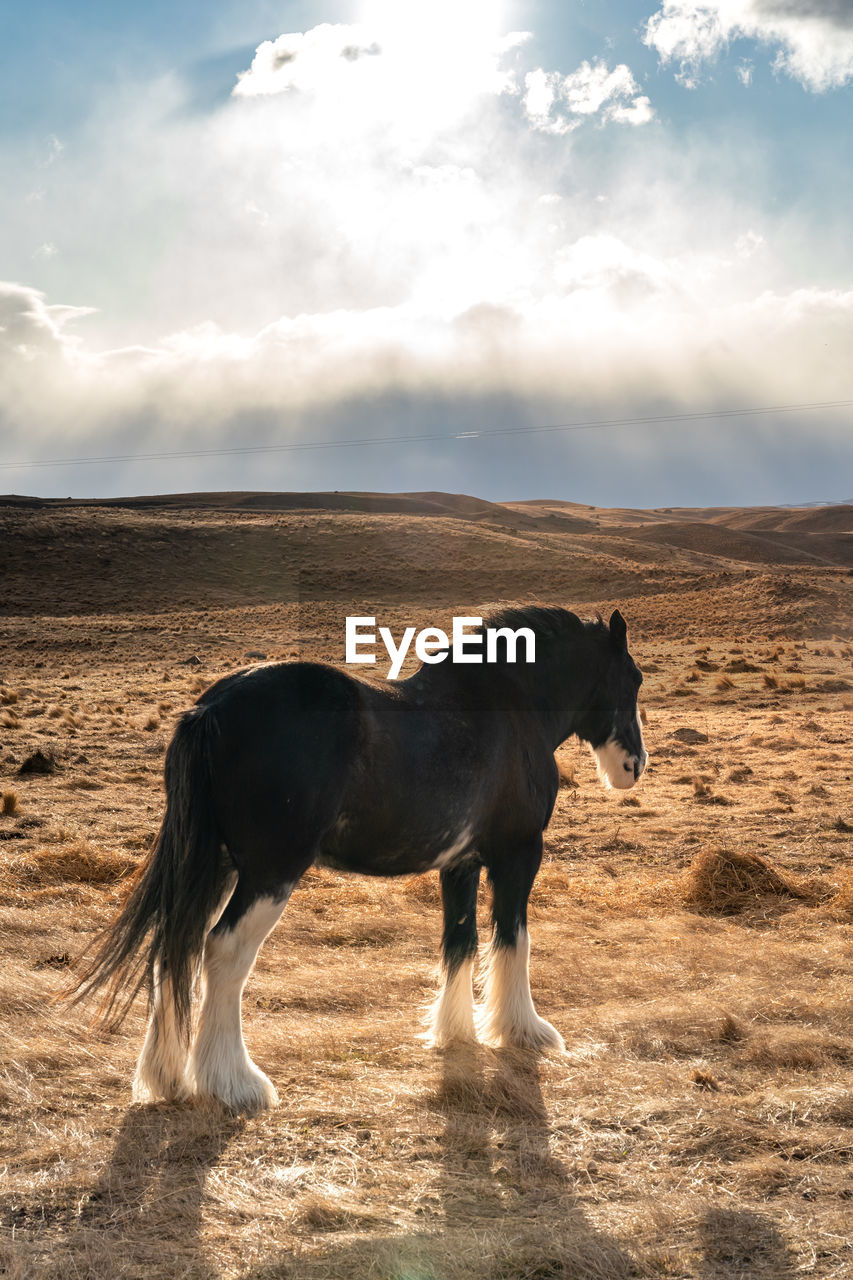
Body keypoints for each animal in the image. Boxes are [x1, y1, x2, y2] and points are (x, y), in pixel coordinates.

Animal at [74, 604, 645, 1105]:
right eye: (634, 680)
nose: (634, 766)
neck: (509, 706)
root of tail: (207, 710)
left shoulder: (460, 864)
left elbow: (459, 941)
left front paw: (455, 1033)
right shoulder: (518, 854)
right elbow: (514, 940)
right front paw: (524, 1030)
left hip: (212, 864)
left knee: (179, 945)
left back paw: (167, 1078)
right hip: (269, 872)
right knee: (224, 952)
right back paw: (235, 1083)